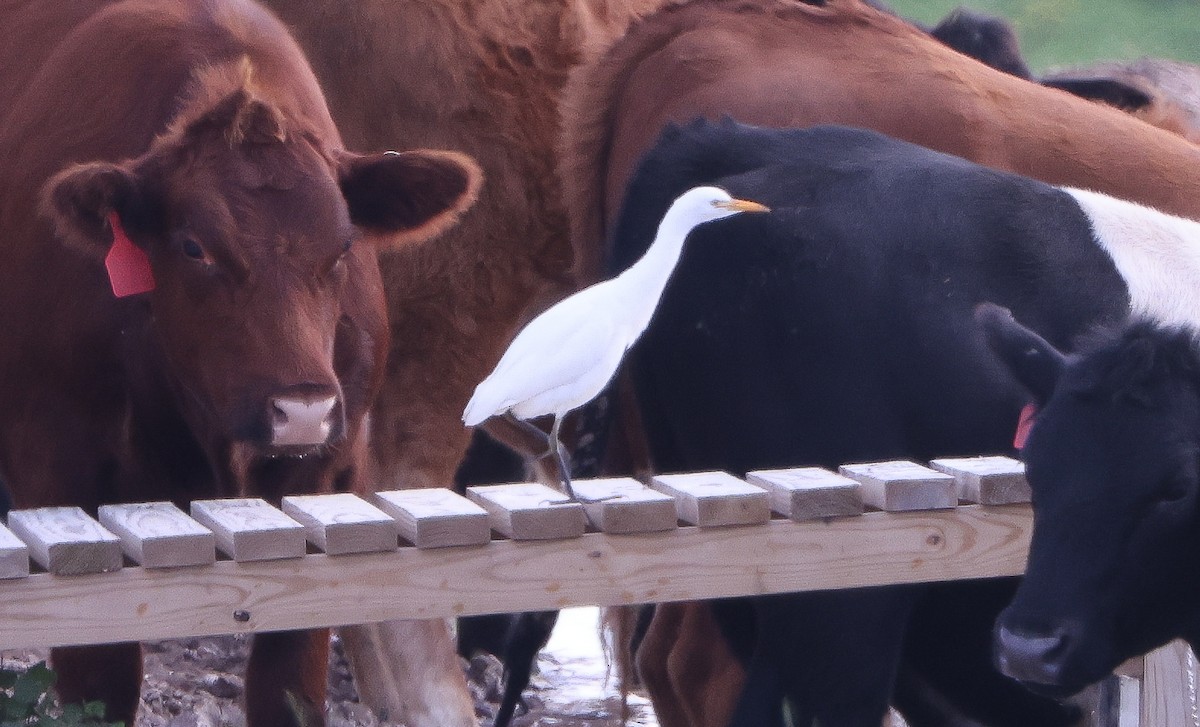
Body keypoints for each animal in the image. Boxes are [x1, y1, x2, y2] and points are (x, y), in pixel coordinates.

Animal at [0, 1, 480, 724]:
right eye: (194, 247)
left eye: (345, 245)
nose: (303, 408)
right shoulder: (56, 469)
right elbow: (101, 680)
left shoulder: (322, 478)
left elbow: (287, 682)